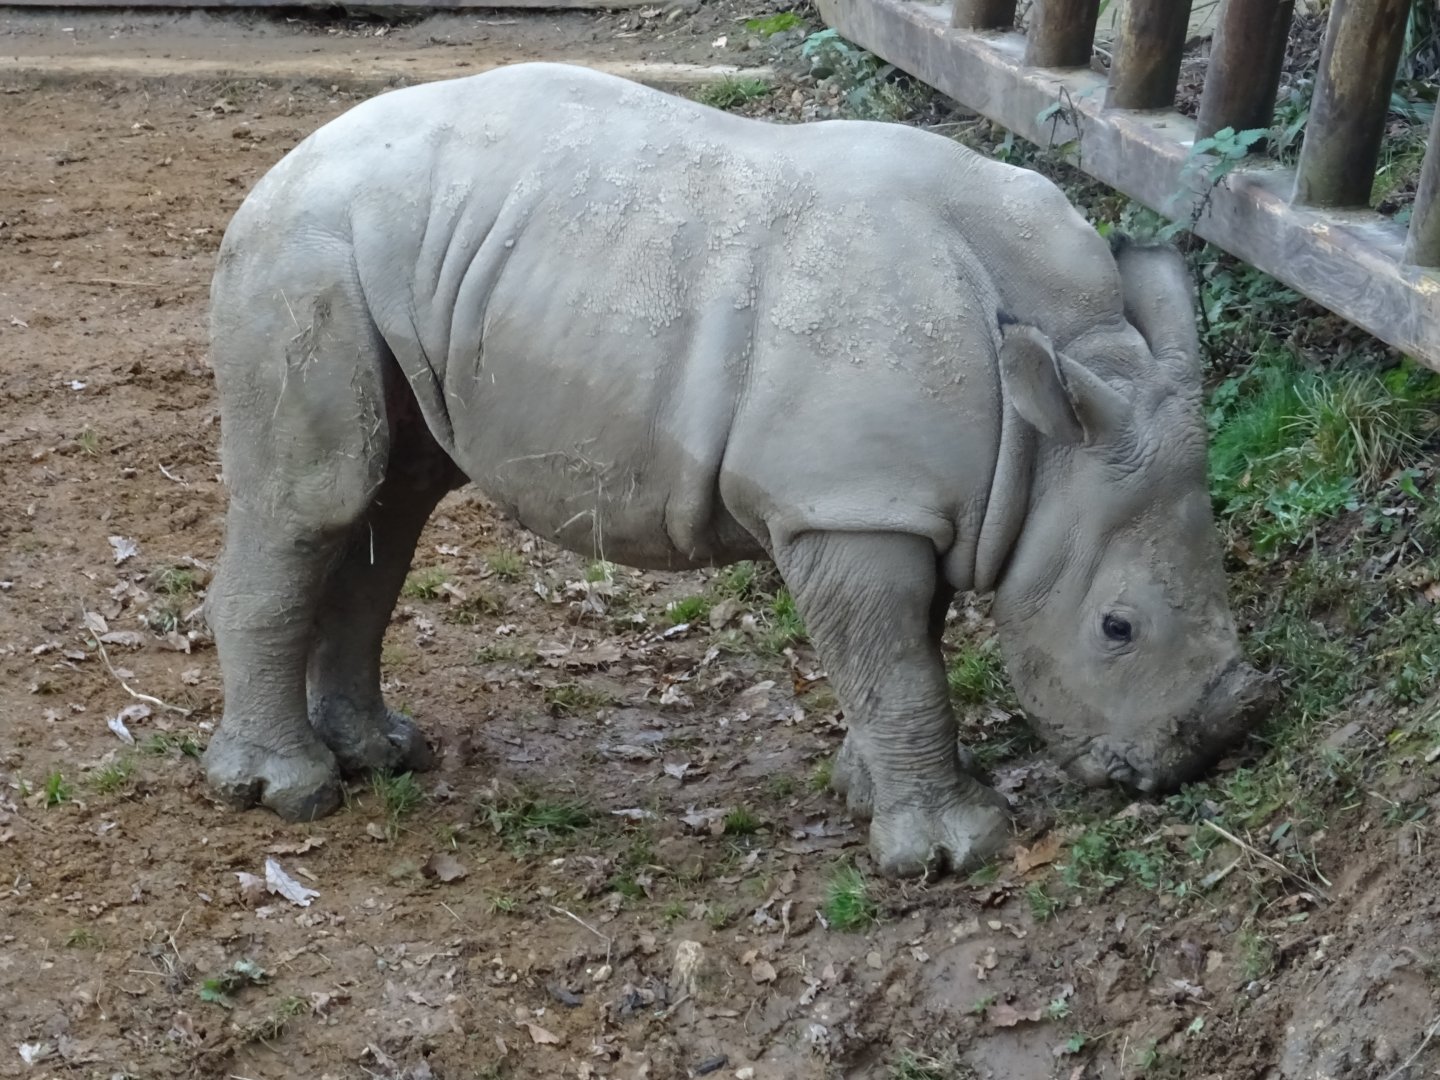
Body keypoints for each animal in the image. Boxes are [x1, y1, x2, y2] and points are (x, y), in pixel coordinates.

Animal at [200, 61, 1268, 877]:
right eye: (1117, 629)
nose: (1183, 766)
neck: (1049, 429)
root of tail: (279, 167)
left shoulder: (887, 500)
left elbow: (900, 649)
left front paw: (863, 793)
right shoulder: (844, 505)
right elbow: (897, 663)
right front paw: (949, 853)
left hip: (387, 257)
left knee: (392, 498)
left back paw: (382, 753)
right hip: (303, 252)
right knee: (319, 497)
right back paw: (287, 793)